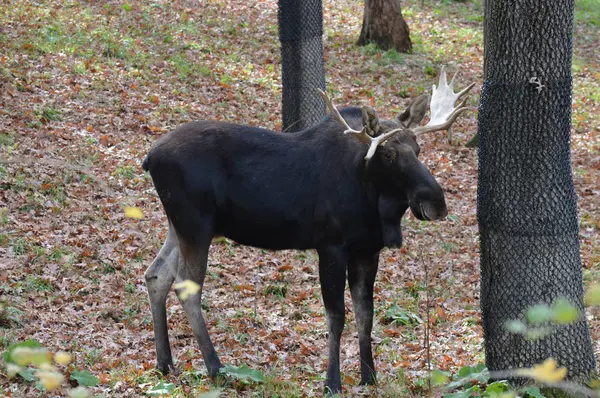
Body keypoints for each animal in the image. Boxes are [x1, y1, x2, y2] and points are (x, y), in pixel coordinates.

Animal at [143, 67, 476, 394]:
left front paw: (369, 376)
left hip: (179, 225)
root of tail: (149, 159)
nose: (436, 202)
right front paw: (332, 382)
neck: (374, 201)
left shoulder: (368, 249)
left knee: (156, 274)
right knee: (186, 287)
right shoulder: (331, 245)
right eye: (389, 154)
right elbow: (336, 315)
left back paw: (164, 362)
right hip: (196, 225)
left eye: (418, 149)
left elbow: (366, 313)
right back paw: (215, 367)